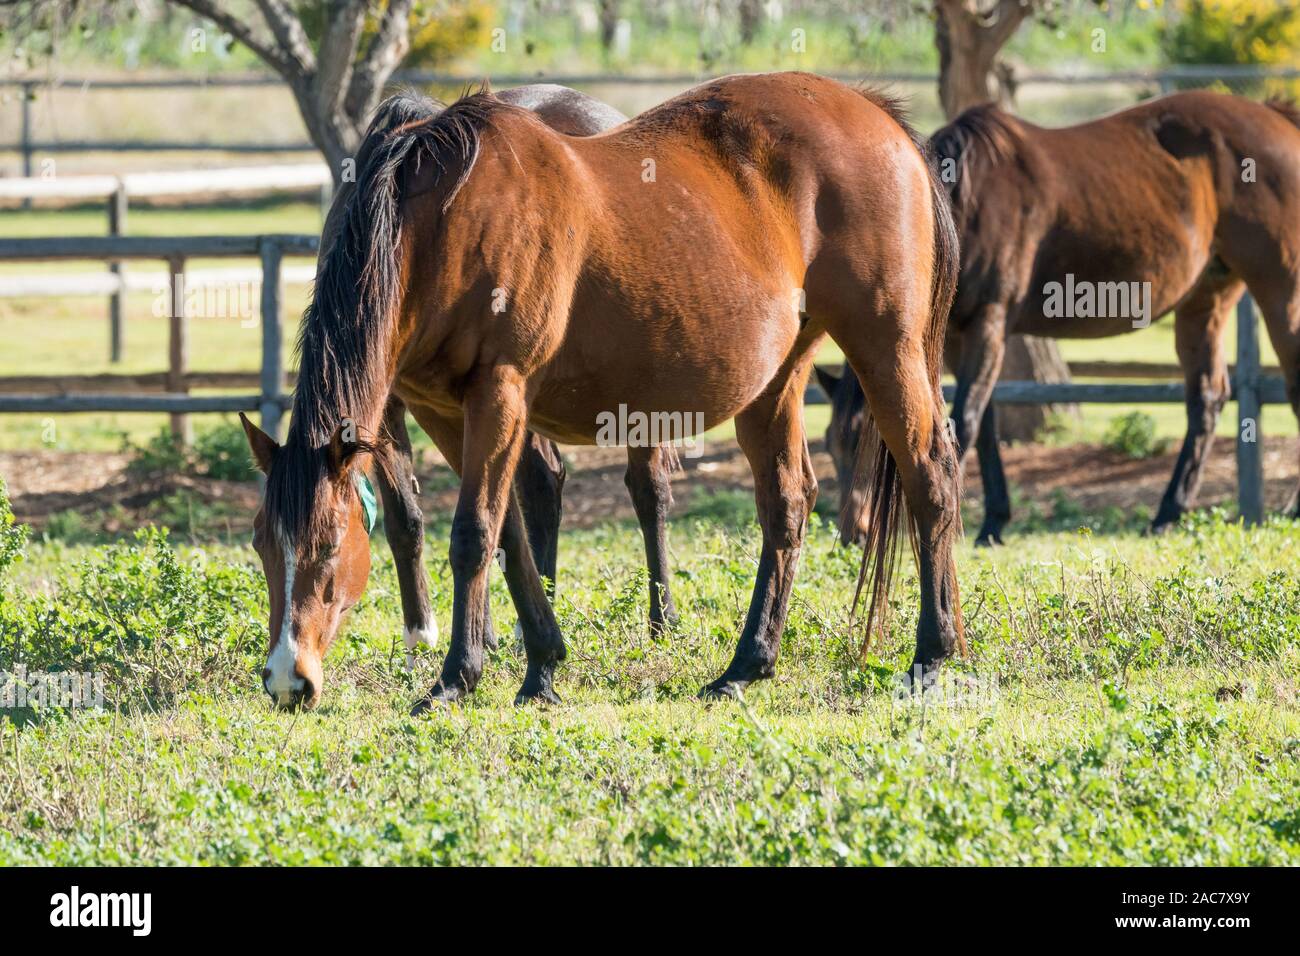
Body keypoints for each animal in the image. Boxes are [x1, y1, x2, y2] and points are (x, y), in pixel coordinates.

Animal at [239, 71, 964, 711]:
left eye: (329, 546)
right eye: (261, 544)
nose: (287, 681)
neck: (437, 225)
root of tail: (875, 114)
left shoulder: (498, 393)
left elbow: (474, 532)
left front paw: (456, 678)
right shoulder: (444, 410)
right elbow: (508, 535)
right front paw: (540, 667)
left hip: (886, 348)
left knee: (930, 477)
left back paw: (931, 657)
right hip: (777, 379)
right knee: (787, 502)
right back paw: (746, 666)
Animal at [820, 91, 1300, 545]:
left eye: (865, 439)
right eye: (832, 444)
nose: (851, 534)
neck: (966, 204)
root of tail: (1278, 117)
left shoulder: (989, 322)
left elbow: (968, 420)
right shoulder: (958, 336)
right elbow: (984, 422)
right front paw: (993, 521)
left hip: (1282, 289)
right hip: (1206, 298)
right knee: (1207, 398)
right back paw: (1168, 513)